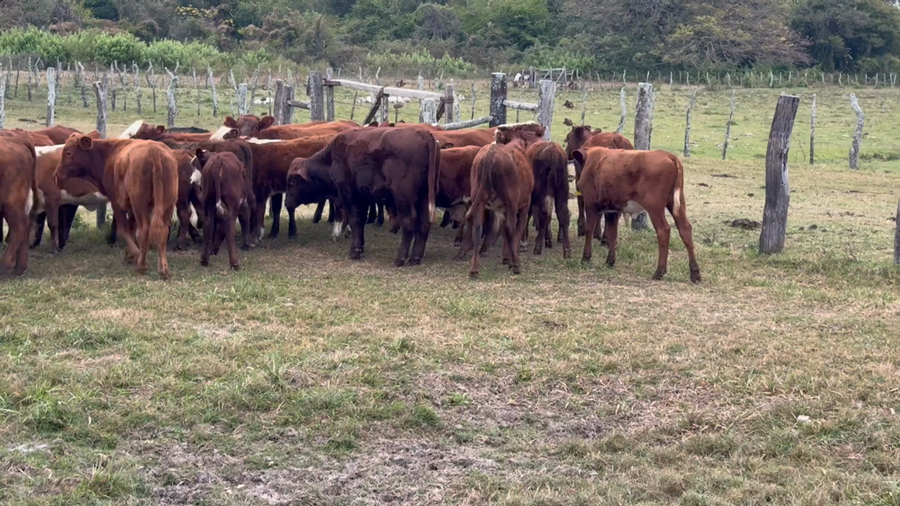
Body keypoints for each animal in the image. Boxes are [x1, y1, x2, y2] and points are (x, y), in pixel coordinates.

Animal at [55, 135, 179, 279]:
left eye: (68, 152)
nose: (56, 174)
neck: (108, 155)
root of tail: (155, 152)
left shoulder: (116, 202)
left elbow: (123, 229)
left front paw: (135, 254)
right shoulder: (131, 209)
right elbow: (131, 228)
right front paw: (129, 255)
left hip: (140, 204)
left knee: (144, 231)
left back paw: (142, 266)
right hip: (167, 204)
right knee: (162, 231)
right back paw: (164, 270)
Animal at [288, 128, 439, 266]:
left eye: (292, 182)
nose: (287, 203)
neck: (331, 159)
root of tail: (422, 133)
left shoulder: (349, 195)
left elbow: (355, 220)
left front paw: (354, 251)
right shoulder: (363, 197)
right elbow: (361, 222)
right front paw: (360, 247)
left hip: (403, 198)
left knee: (408, 222)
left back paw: (399, 259)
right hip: (423, 197)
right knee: (424, 223)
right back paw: (415, 258)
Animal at [464, 123, 545, 279]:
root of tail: (491, 152)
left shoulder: (499, 208)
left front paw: (506, 256)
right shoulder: (524, 204)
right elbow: (517, 229)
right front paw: (511, 258)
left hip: (480, 200)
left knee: (478, 228)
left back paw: (474, 269)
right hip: (511, 203)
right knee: (510, 227)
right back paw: (516, 265)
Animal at [573, 147, 700, 283]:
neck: (593, 161)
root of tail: (668, 155)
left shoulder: (590, 205)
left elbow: (589, 230)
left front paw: (585, 258)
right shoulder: (612, 210)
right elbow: (612, 234)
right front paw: (610, 261)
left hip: (654, 208)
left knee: (663, 231)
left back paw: (659, 271)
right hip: (677, 205)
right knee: (685, 230)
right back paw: (695, 273)